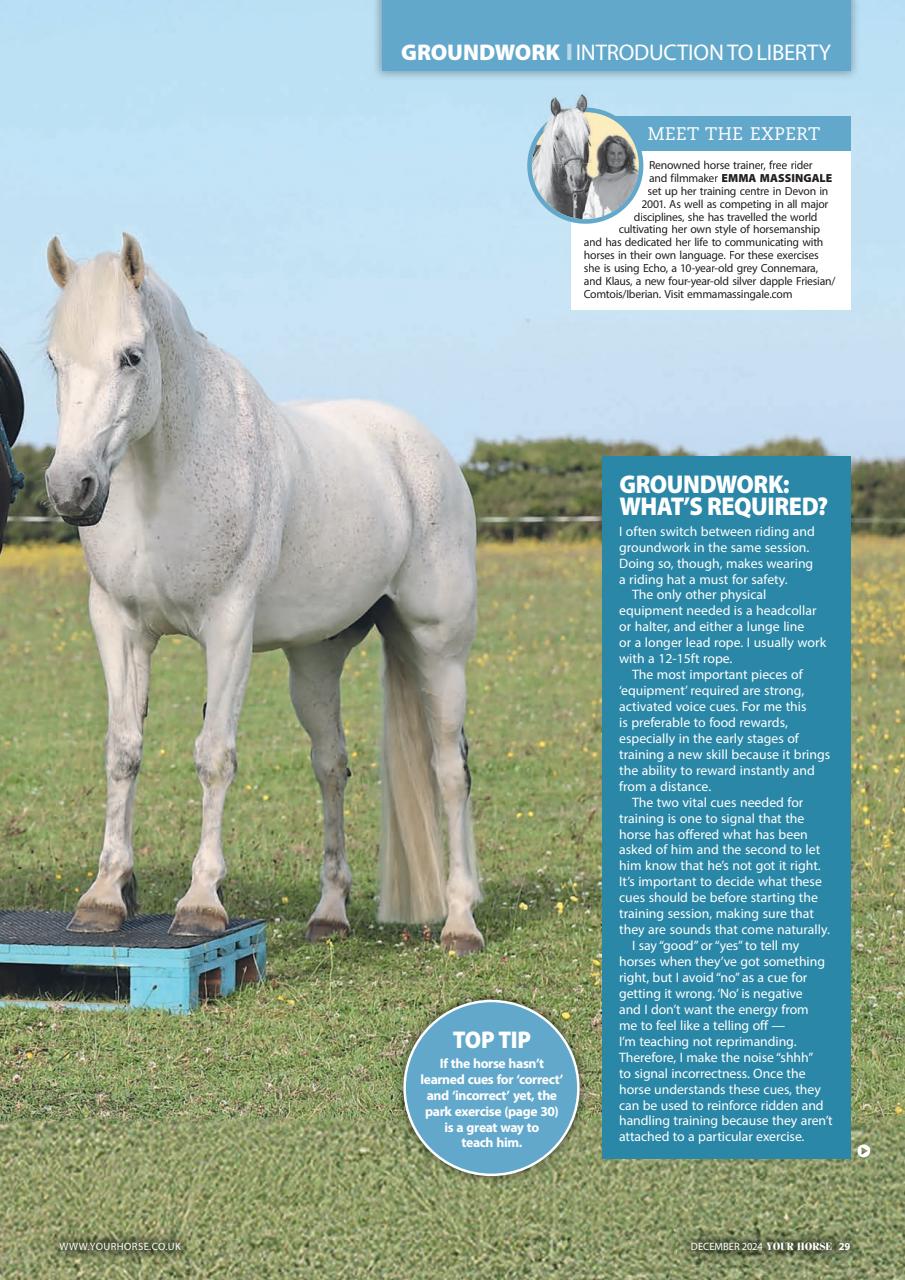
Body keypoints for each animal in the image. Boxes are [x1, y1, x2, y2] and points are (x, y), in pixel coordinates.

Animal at [43, 234, 484, 956]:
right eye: (54, 360)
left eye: (131, 356)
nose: (71, 489)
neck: (169, 474)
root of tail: (427, 451)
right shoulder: (120, 625)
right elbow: (123, 752)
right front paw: (104, 896)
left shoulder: (227, 629)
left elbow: (214, 756)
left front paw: (200, 903)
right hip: (316, 662)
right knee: (331, 766)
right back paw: (330, 913)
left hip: (438, 648)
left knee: (449, 768)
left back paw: (461, 919)